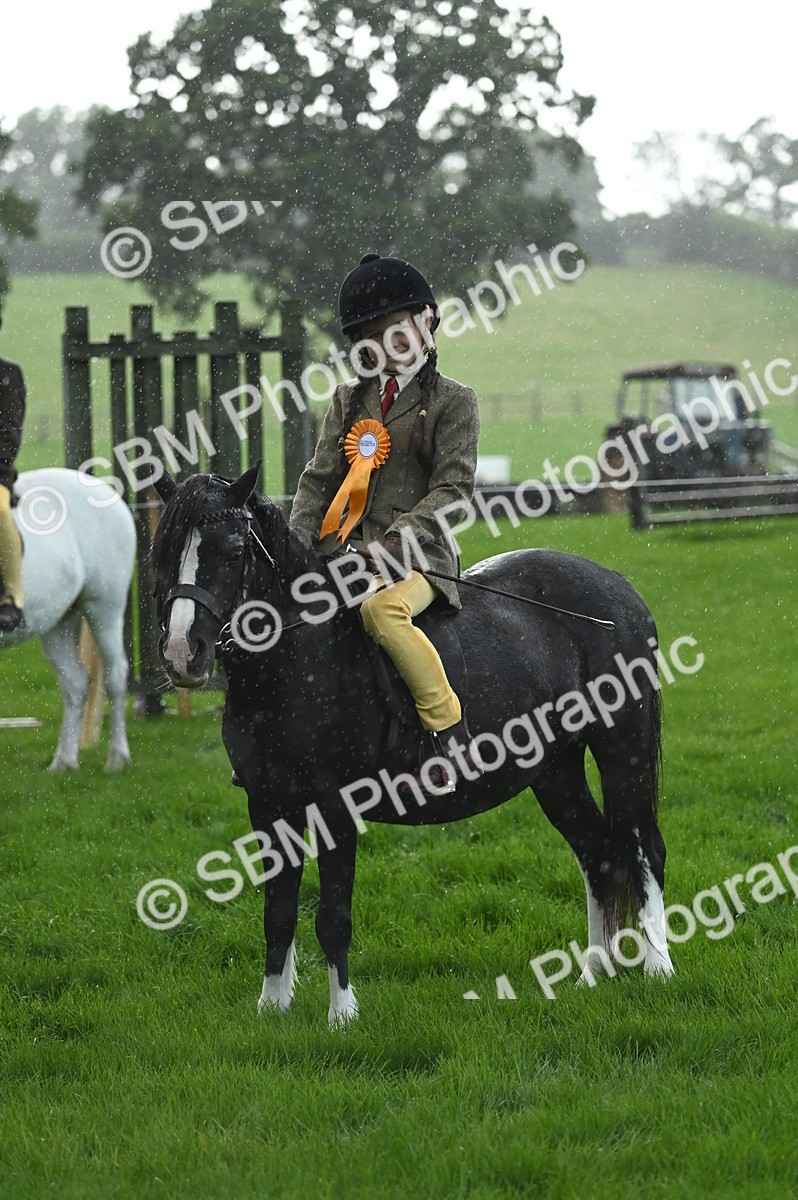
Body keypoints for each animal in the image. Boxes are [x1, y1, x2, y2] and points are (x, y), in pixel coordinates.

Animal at [1, 468, 135, 771]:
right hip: (56, 623)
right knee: (75, 682)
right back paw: (64, 762)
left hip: (104, 607)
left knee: (115, 676)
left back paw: (117, 758)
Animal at [152, 464, 674, 1025]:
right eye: (163, 551)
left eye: (231, 551)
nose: (183, 654)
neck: (299, 655)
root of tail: (617, 586)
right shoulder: (268, 806)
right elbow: (279, 912)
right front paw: (272, 1009)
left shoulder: (335, 808)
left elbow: (332, 915)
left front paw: (342, 1015)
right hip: (555, 768)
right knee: (597, 854)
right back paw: (590, 973)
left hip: (622, 748)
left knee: (643, 846)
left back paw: (658, 968)